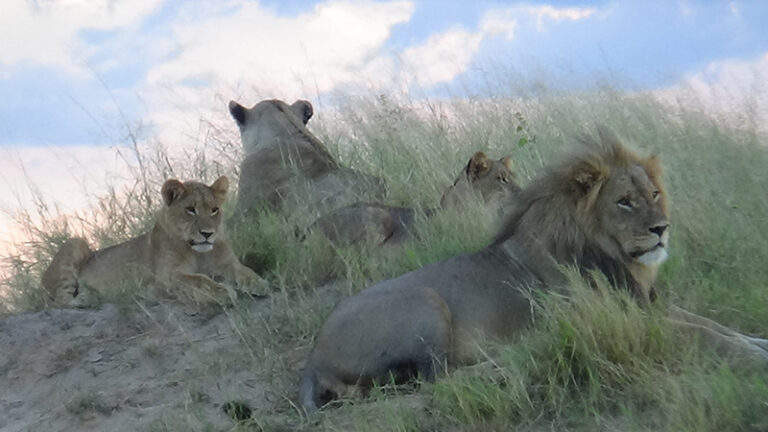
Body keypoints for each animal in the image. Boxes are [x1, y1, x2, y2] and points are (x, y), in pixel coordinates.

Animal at [42, 176, 268, 307]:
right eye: (190, 209)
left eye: (214, 210)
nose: (207, 233)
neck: (197, 251)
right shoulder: (165, 278)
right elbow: (198, 279)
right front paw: (223, 292)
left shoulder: (228, 263)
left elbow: (244, 270)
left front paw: (258, 283)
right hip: (76, 242)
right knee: (58, 301)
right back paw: (86, 298)